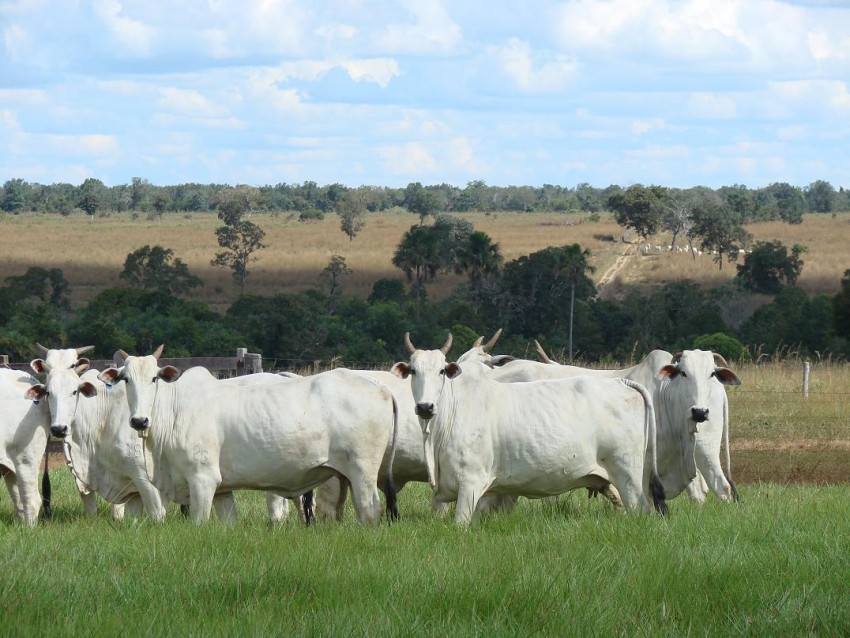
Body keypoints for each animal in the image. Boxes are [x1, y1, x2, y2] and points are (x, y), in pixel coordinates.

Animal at [97, 350, 396, 524]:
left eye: (154, 379)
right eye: (125, 379)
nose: (139, 421)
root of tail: (381, 388)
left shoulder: (203, 480)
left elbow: (199, 522)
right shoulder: (222, 491)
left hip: (363, 471)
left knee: (370, 510)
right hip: (345, 476)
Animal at [390, 338, 664, 528]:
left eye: (441, 371)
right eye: (412, 371)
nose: (425, 407)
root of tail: (620, 381)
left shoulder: (470, 484)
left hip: (628, 477)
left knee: (640, 509)